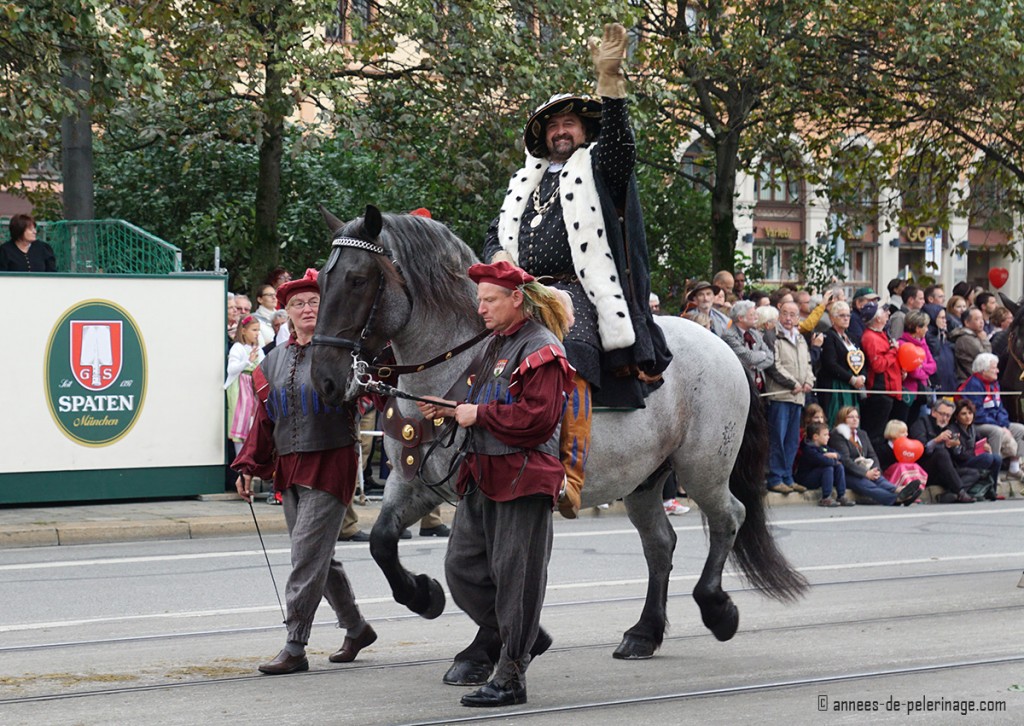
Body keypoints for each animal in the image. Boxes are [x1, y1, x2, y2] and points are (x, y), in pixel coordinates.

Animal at [307, 205, 802, 684]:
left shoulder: (483, 488)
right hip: (644, 480)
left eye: (356, 279)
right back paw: (644, 633)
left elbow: (487, 566)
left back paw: (716, 608)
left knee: (729, 517)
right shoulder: (414, 483)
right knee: (661, 544)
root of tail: (721, 345)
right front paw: (425, 596)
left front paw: (481, 649)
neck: (461, 361)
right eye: (323, 280)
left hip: (704, 468)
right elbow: (383, 541)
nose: (326, 380)